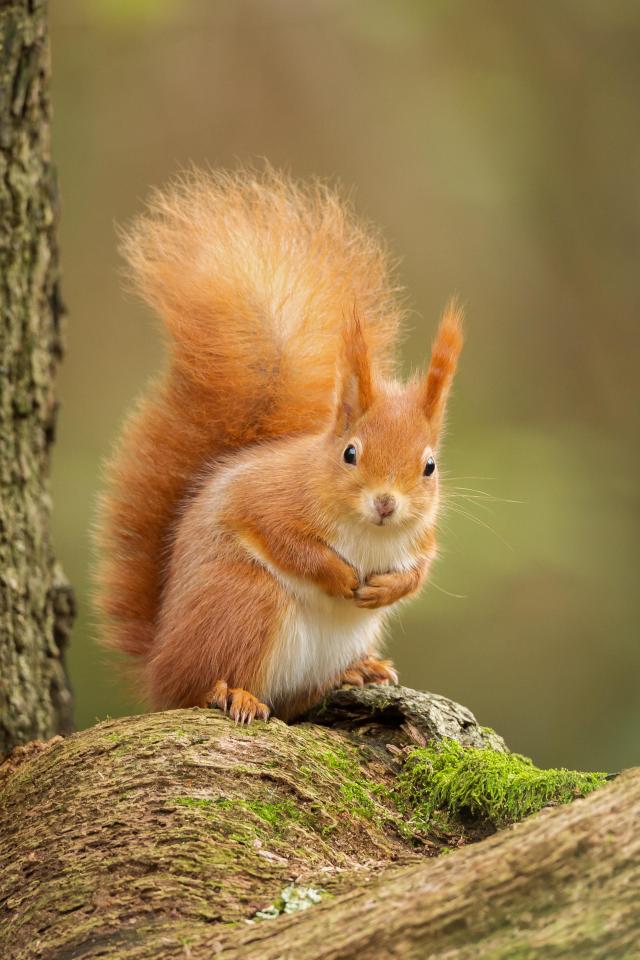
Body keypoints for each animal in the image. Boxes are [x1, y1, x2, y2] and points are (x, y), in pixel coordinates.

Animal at [97, 167, 462, 720]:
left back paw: (357, 671)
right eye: (350, 453)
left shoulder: (421, 536)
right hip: (247, 602)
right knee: (204, 684)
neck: (367, 531)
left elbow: (420, 569)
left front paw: (389, 586)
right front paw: (338, 575)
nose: (385, 504)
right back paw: (234, 692)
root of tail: (159, 664)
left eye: (430, 467)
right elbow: (286, 540)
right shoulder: (270, 499)